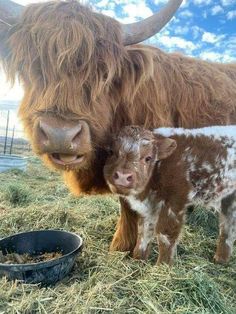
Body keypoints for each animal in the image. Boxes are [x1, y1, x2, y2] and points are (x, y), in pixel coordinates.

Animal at [103, 125, 236, 264]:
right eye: (111, 152)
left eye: (148, 158)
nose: (123, 176)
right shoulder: (148, 208)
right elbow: (144, 232)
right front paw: (138, 260)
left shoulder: (175, 203)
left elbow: (165, 235)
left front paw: (162, 265)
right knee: (228, 224)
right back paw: (221, 258)